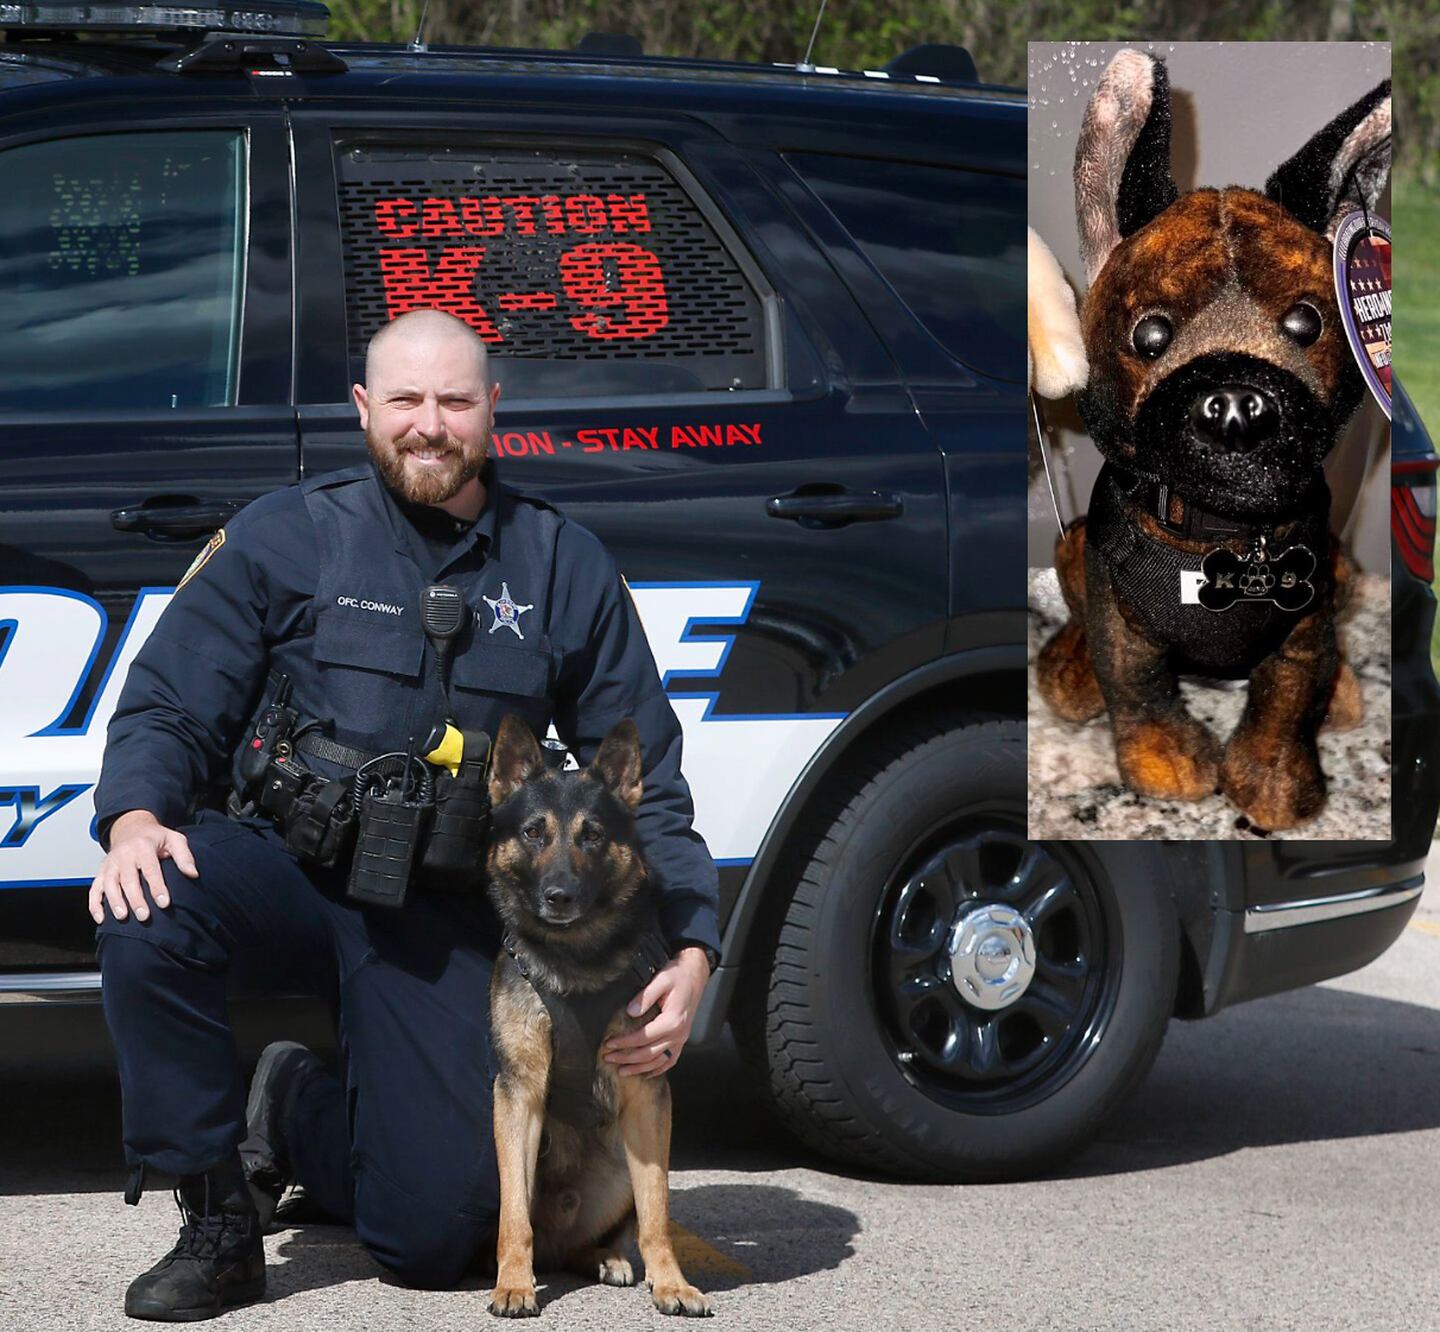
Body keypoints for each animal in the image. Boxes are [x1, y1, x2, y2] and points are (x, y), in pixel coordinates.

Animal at [483, 711, 708, 1313]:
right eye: (533, 832)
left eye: (594, 834)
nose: (559, 895)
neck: (575, 957)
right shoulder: (519, 1093)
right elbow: (513, 1215)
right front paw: (514, 1283)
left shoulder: (647, 1095)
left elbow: (657, 1211)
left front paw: (671, 1282)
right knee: (530, 1225)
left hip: (619, 1172)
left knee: (590, 1240)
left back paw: (606, 1258)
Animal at [1042, 54, 1388, 829]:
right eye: (1149, 334)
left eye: (1306, 323)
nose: (1235, 404)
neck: (1220, 534)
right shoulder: (1123, 627)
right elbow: (1138, 691)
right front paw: (1164, 758)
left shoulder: (1304, 631)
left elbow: (1285, 705)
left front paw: (1275, 780)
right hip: (1070, 547)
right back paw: (1068, 673)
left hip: (1346, 571)